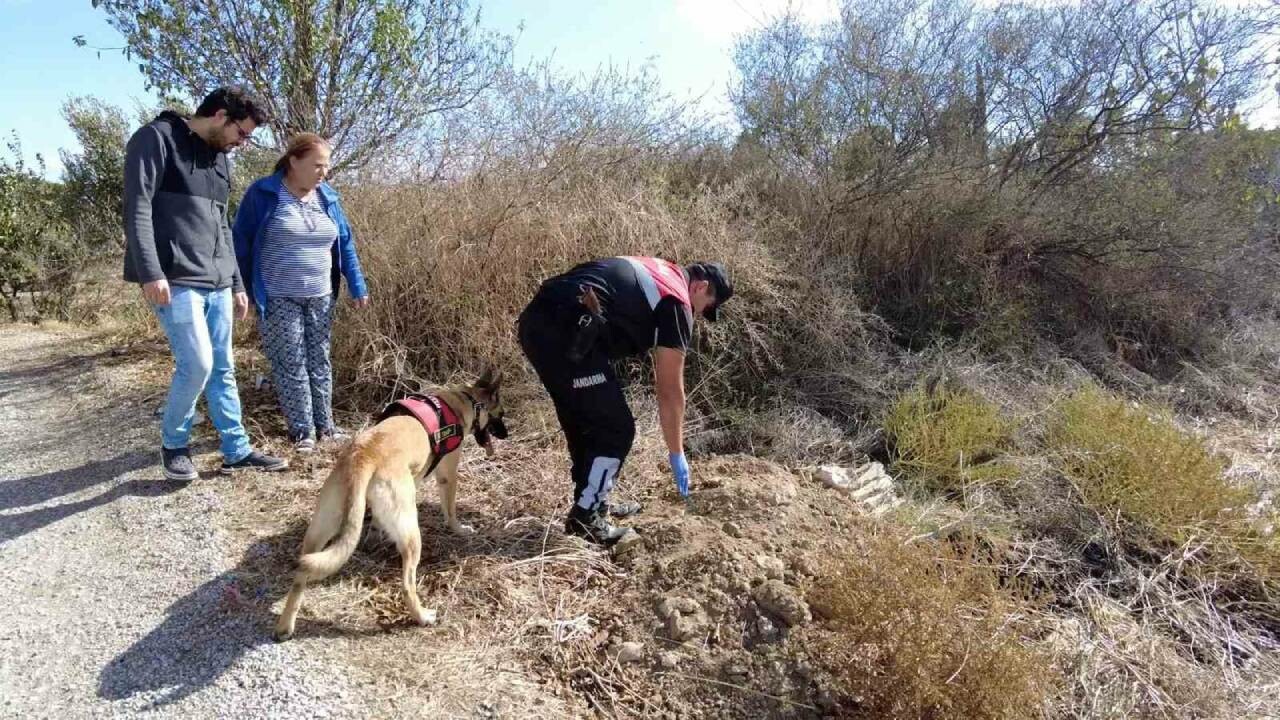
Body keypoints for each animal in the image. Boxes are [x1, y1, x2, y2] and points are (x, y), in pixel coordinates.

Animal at [275, 366, 504, 635]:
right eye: (501, 415)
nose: (507, 433)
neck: (464, 399)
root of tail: (364, 455)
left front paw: (376, 534)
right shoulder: (447, 475)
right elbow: (450, 511)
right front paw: (459, 529)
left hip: (319, 530)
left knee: (302, 573)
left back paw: (285, 626)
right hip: (411, 534)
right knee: (407, 584)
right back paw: (422, 616)